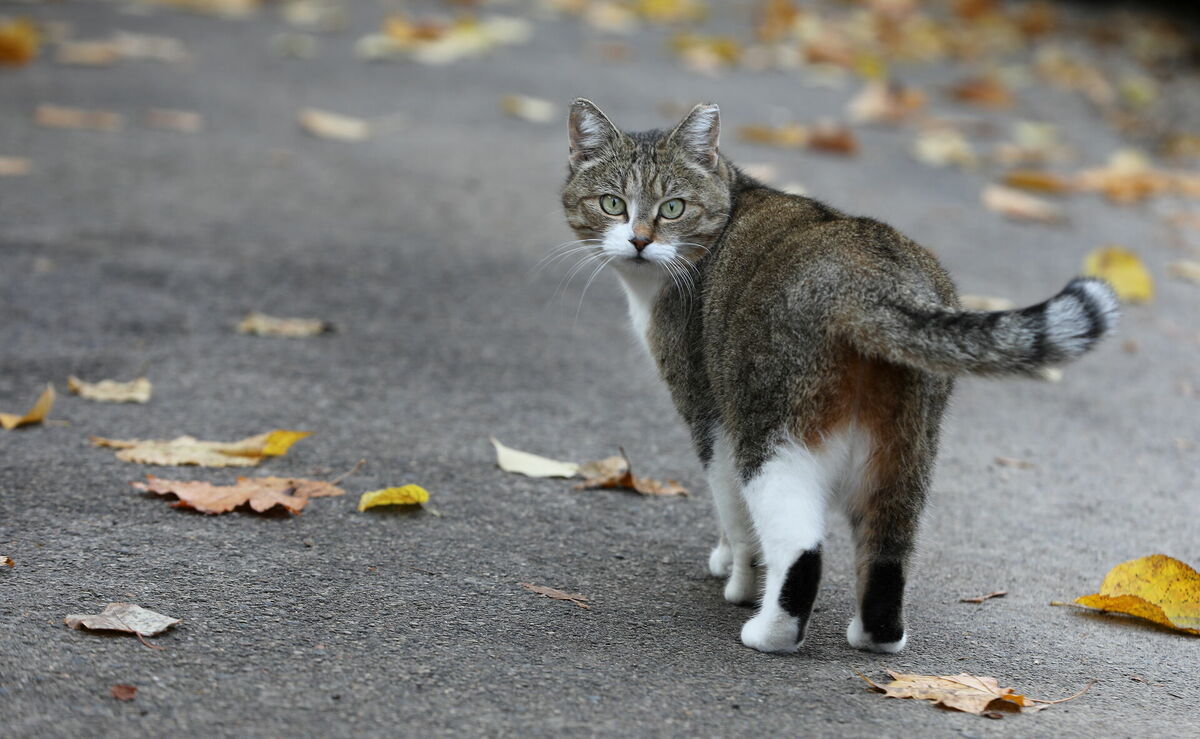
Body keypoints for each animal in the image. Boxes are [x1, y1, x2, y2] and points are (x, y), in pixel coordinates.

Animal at [556, 98, 1118, 652]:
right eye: (612, 204)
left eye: (672, 207)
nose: (639, 241)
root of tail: (870, 279)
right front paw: (726, 561)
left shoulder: (709, 413)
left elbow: (734, 515)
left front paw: (739, 579)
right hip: (905, 447)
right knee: (888, 551)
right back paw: (876, 636)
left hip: (772, 430)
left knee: (802, 548)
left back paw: (770, 631)